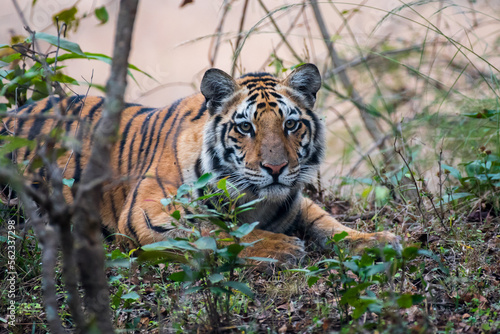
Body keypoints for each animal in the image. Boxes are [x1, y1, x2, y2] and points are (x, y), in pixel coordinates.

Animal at [0, 64, 398, 262]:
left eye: (290, 124)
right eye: (245, 127)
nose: (275, 169)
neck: (255, 199)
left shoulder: (295, 202)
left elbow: (327, 223)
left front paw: (373, 240)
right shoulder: (148, 213)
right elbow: (215, 232)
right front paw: (281, 248)